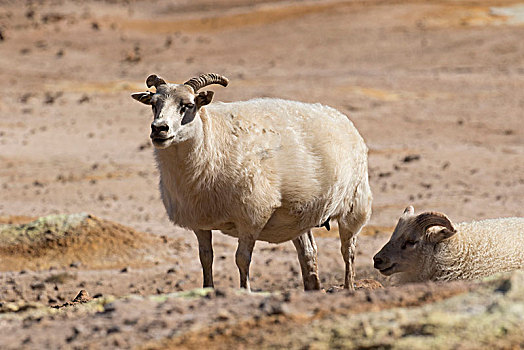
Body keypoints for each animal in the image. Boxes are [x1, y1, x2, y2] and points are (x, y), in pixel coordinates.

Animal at [133, 73, 374, 290]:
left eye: (188, 105)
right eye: (153, 104)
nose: (159, 129)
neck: (212, 140)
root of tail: (339, 116)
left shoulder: (251, 216)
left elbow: (242, 259)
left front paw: (245, 290)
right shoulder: (200, 221)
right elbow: (206, 258)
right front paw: (207, 289)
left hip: (355, 204)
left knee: (348, 251)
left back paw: (349, 287)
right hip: (301, 217)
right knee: (308, 253)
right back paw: (312, 288)